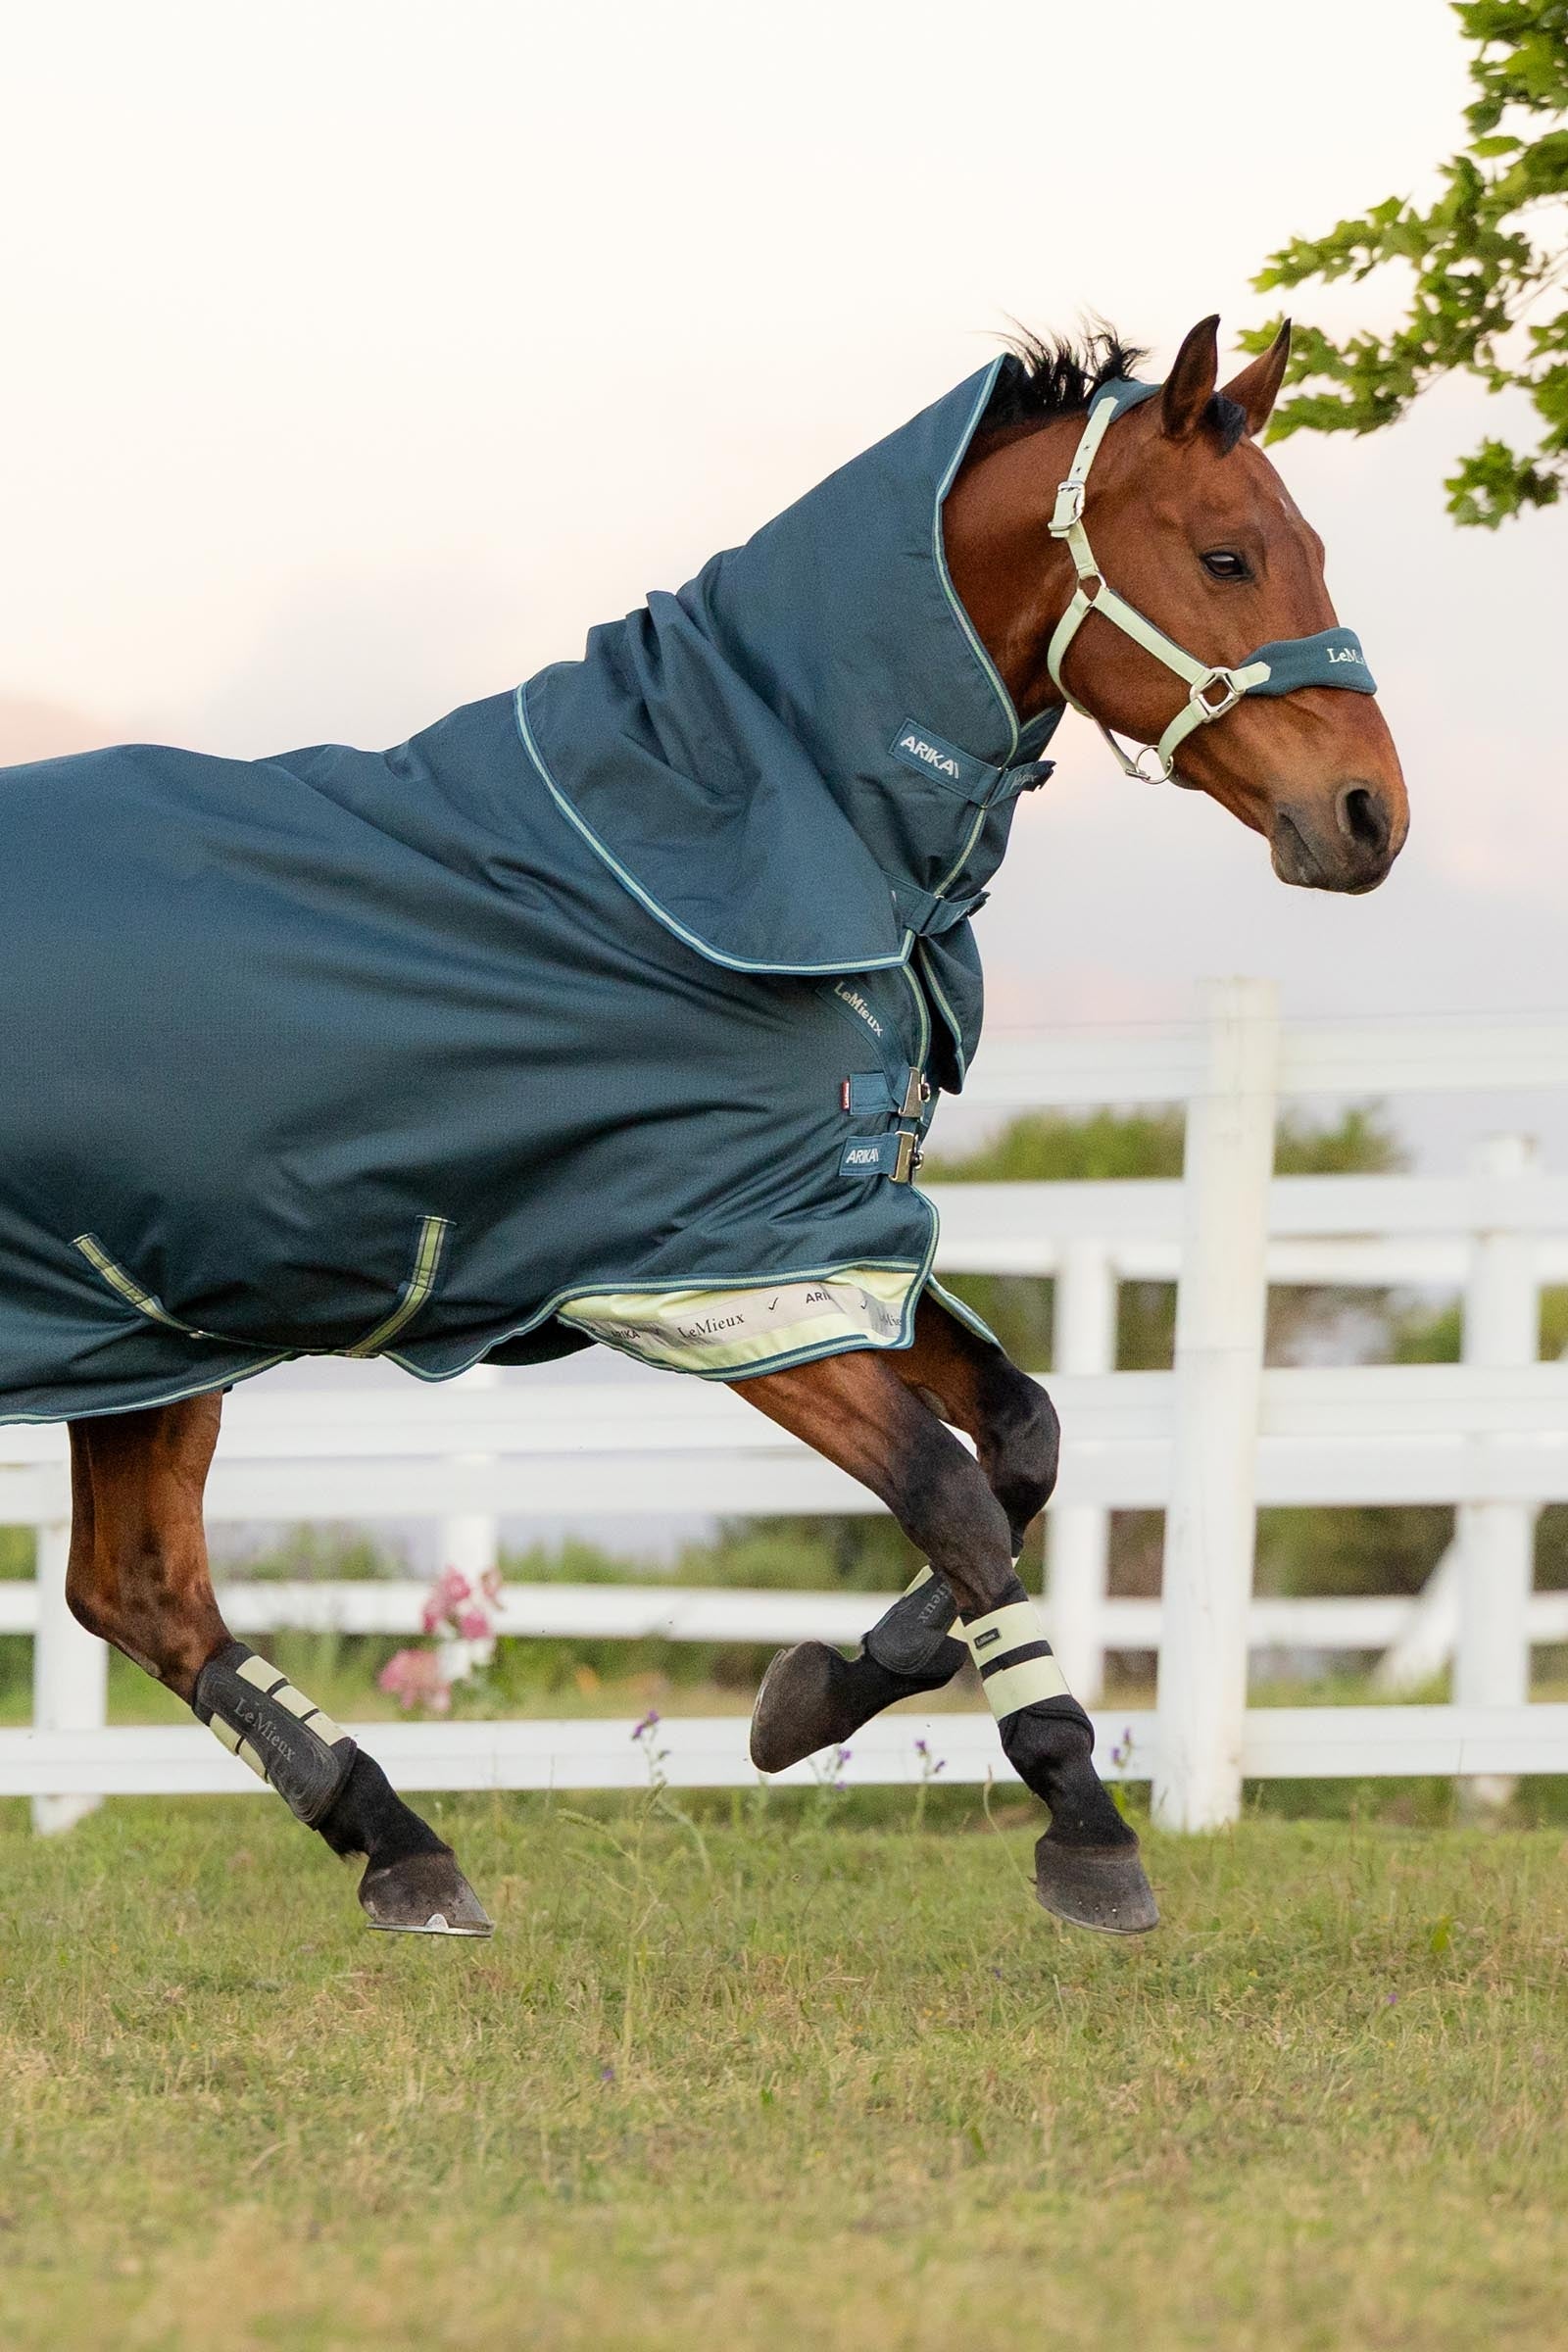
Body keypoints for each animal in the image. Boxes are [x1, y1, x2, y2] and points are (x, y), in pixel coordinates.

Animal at [1, 314, 1406, 1938]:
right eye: (1230, 555)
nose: (1370, 814)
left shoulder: (822, 1239)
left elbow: (1024, 1443)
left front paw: (836, 1686)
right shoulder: (708, 1273)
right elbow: (947, 1490)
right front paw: (1081, 1816)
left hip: (153, 1333)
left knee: (140, 1591)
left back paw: (402, 1845)